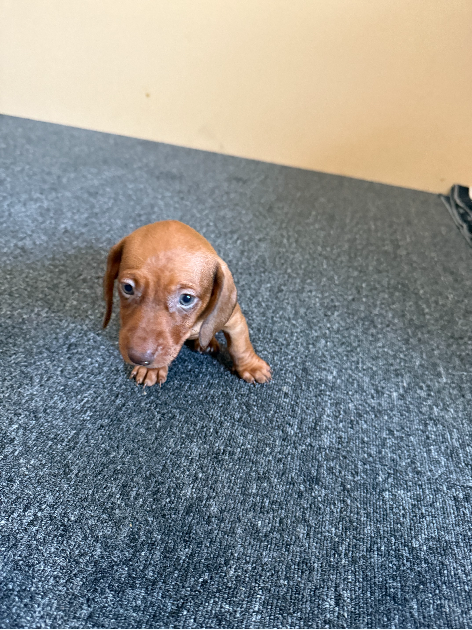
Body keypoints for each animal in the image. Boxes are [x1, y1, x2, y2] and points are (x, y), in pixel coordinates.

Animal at [103, 220, 271, 387]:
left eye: (187, 299)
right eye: (127, 288)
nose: (138, 359)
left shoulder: (235, 320)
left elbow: (240, 346)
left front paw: (251, 366)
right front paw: (151, 369)